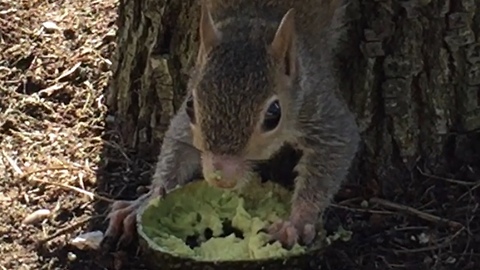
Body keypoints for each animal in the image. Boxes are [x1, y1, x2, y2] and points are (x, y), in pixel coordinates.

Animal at [105, 0, 360, 250]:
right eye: (190, 105)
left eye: (274, 114)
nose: (222, 179)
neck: (253, 21)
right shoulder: (187, 121)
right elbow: (176, 148)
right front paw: (145, 201)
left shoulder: (316, 103)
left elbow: (336, 147)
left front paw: (296, 222)